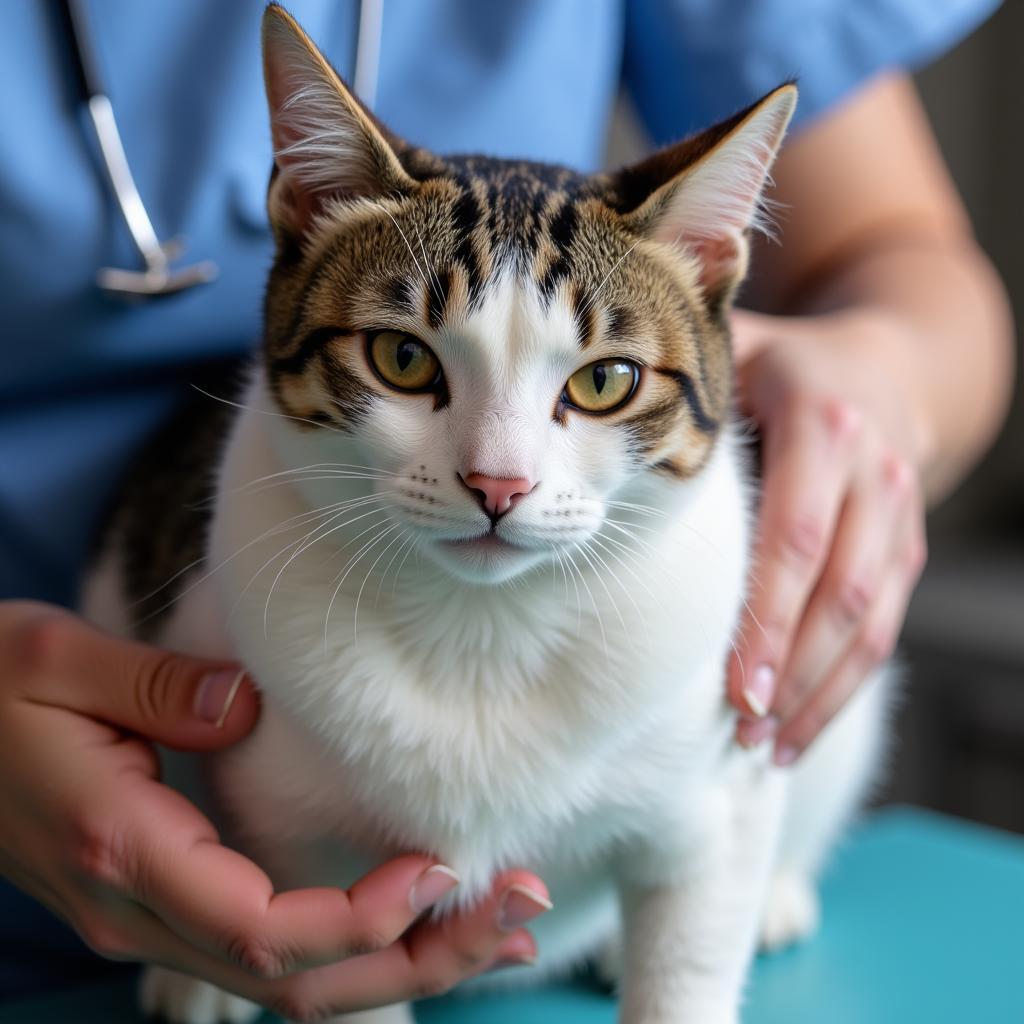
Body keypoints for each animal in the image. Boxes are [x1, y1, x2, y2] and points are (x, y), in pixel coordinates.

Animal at [79, 4, 888, 1019]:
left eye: (606, 381)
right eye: (402, 359)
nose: (498, 485)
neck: (486, 627)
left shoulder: (719, 791)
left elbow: (692, 944)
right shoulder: (299, 841)